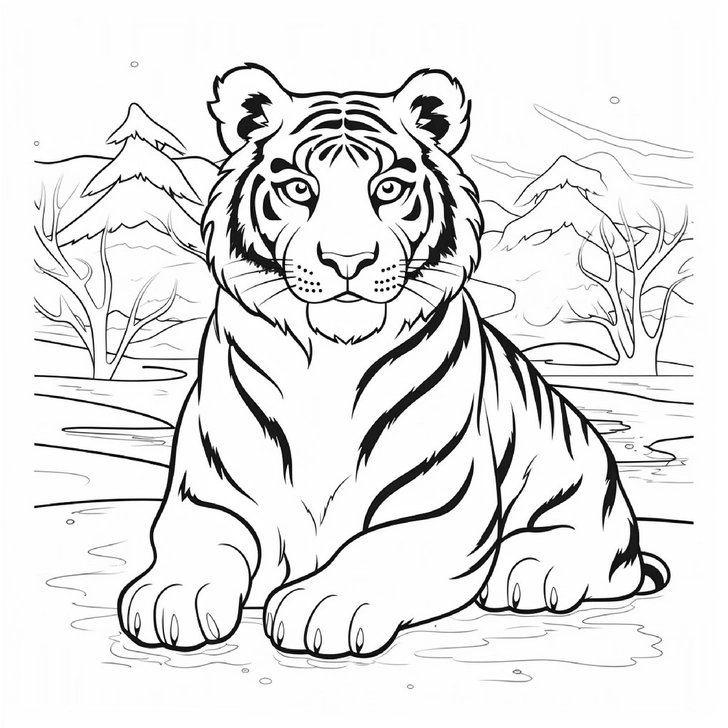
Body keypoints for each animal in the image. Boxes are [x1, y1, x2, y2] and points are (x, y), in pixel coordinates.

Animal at [118, 64, 668, 658]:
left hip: (580, 483)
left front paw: (322, 606)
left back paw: (527, 569)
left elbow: (375, 551)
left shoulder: (439, 506)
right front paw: (171, 597)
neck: (332, 357)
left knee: (603, 557)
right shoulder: (209, 495)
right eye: (298, 188)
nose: (348, 260)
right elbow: (201, 543)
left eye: (388, 188)